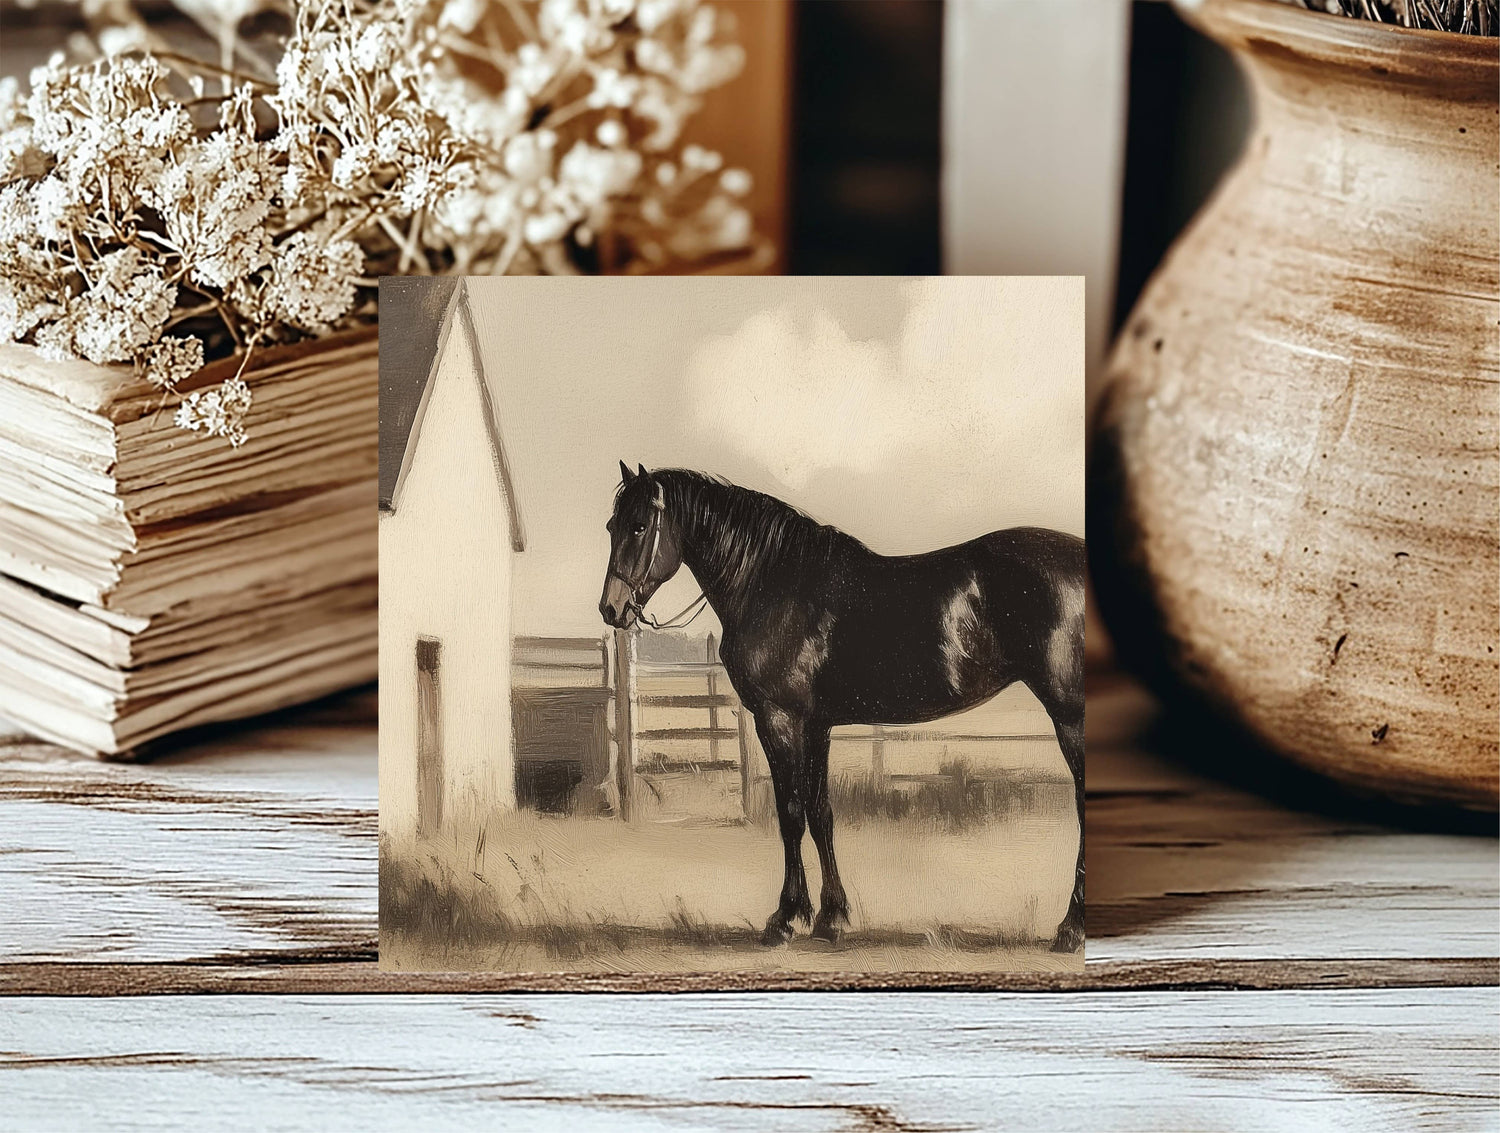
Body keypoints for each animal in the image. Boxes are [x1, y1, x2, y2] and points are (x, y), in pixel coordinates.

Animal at [598, 463, 1085, 953]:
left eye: (638, 526)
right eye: (610, 526)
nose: (612, 609)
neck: (773, 583)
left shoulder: (778, 720)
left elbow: (790, 813)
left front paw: (784, 919)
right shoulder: (816, 726)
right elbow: (821, 814)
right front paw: (831, 918)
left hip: (1070, 717)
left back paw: (1070, 929)